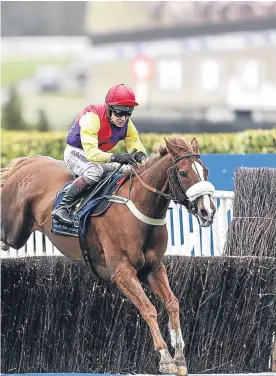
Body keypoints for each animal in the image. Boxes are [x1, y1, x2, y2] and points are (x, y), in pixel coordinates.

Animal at [1, 137, 217, 374]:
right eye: (184, 172)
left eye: (205, 171)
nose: (208, 212)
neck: (140, 209)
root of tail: (27, 162)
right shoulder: (121, 271)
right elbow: (148, 308)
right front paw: (166, 359)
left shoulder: (152, 268)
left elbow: (172, 303)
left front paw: (179, 358)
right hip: (11, 232)